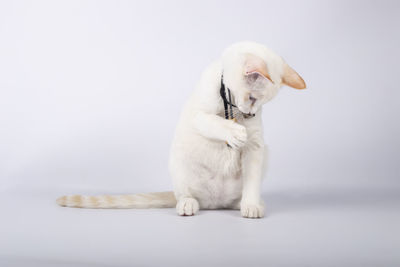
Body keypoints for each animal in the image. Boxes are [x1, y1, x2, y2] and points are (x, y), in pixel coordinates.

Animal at [57, 40, 306, 219]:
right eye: (252, 97)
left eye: (261, 104)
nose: (251, 114)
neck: (230, 104)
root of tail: (215, 204)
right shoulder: (197, 114)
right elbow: (212, 122)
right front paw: (233, 132)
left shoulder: (256, 146)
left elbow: (252, 182)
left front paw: (251, 205)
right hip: (180, 164)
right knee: (185, 196)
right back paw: (187, 204)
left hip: (264, 156)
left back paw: (243, 203)